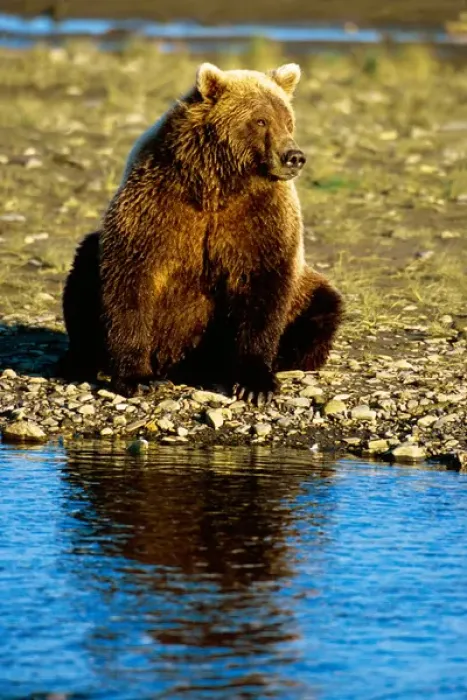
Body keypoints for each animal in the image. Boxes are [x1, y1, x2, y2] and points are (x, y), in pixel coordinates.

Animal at [61, 62, 343, 404]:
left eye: (288, 120)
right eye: (260, 120)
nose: (294, 156)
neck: (217, 185)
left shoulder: (261, 216)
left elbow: (263, 286)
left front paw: (255, 383)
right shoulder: (158, 202)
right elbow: (131, 277)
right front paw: (137, 377)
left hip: (307, 295)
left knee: (323, 308)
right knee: (83, 277)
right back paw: (80, 361)